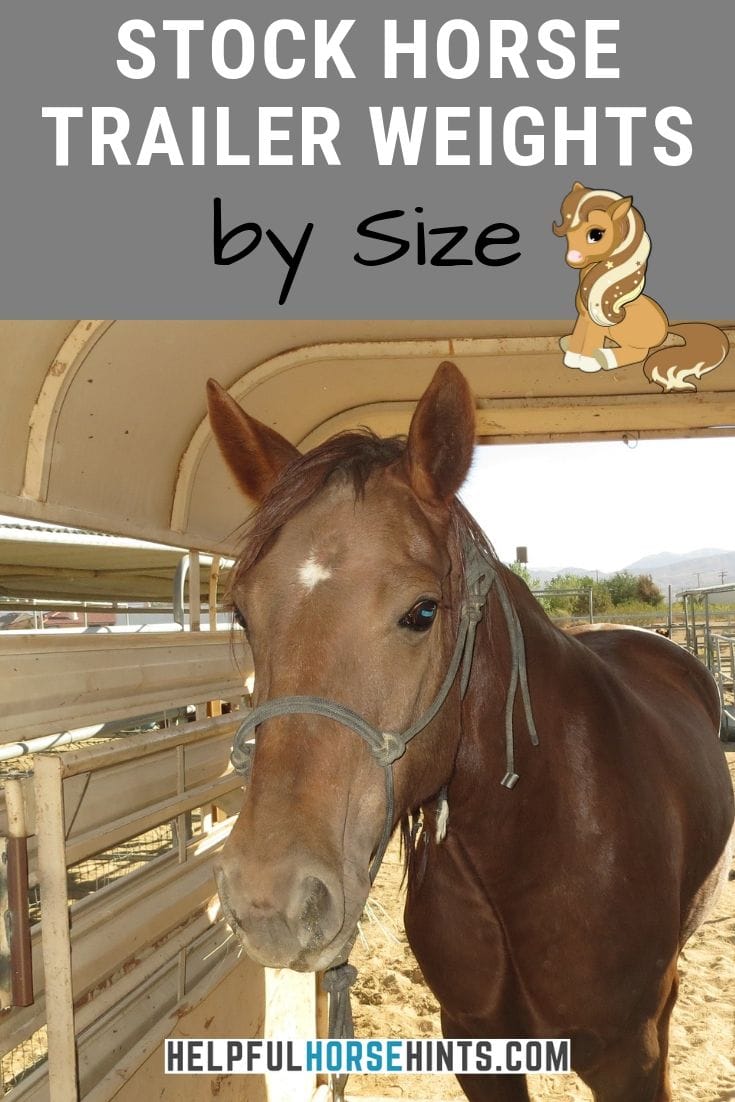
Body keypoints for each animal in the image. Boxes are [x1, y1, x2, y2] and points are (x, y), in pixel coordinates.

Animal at [208, 362, 734, 1102]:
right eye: (242, 612)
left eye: (423, 611)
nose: (269, 900)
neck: (535, 842)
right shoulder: (474, 1042)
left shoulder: (630, 1058)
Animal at [553, 182, 729, 392]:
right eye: (567, 231)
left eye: (596, 234)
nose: (573, 258)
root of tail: (666, 326)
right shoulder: (584, 317)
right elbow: (580, 334)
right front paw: (572, 357)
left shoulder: (597, 322)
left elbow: (591, 341)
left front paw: (587, 363)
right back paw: (567, 341)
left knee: (640, 353)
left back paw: (605, 357)